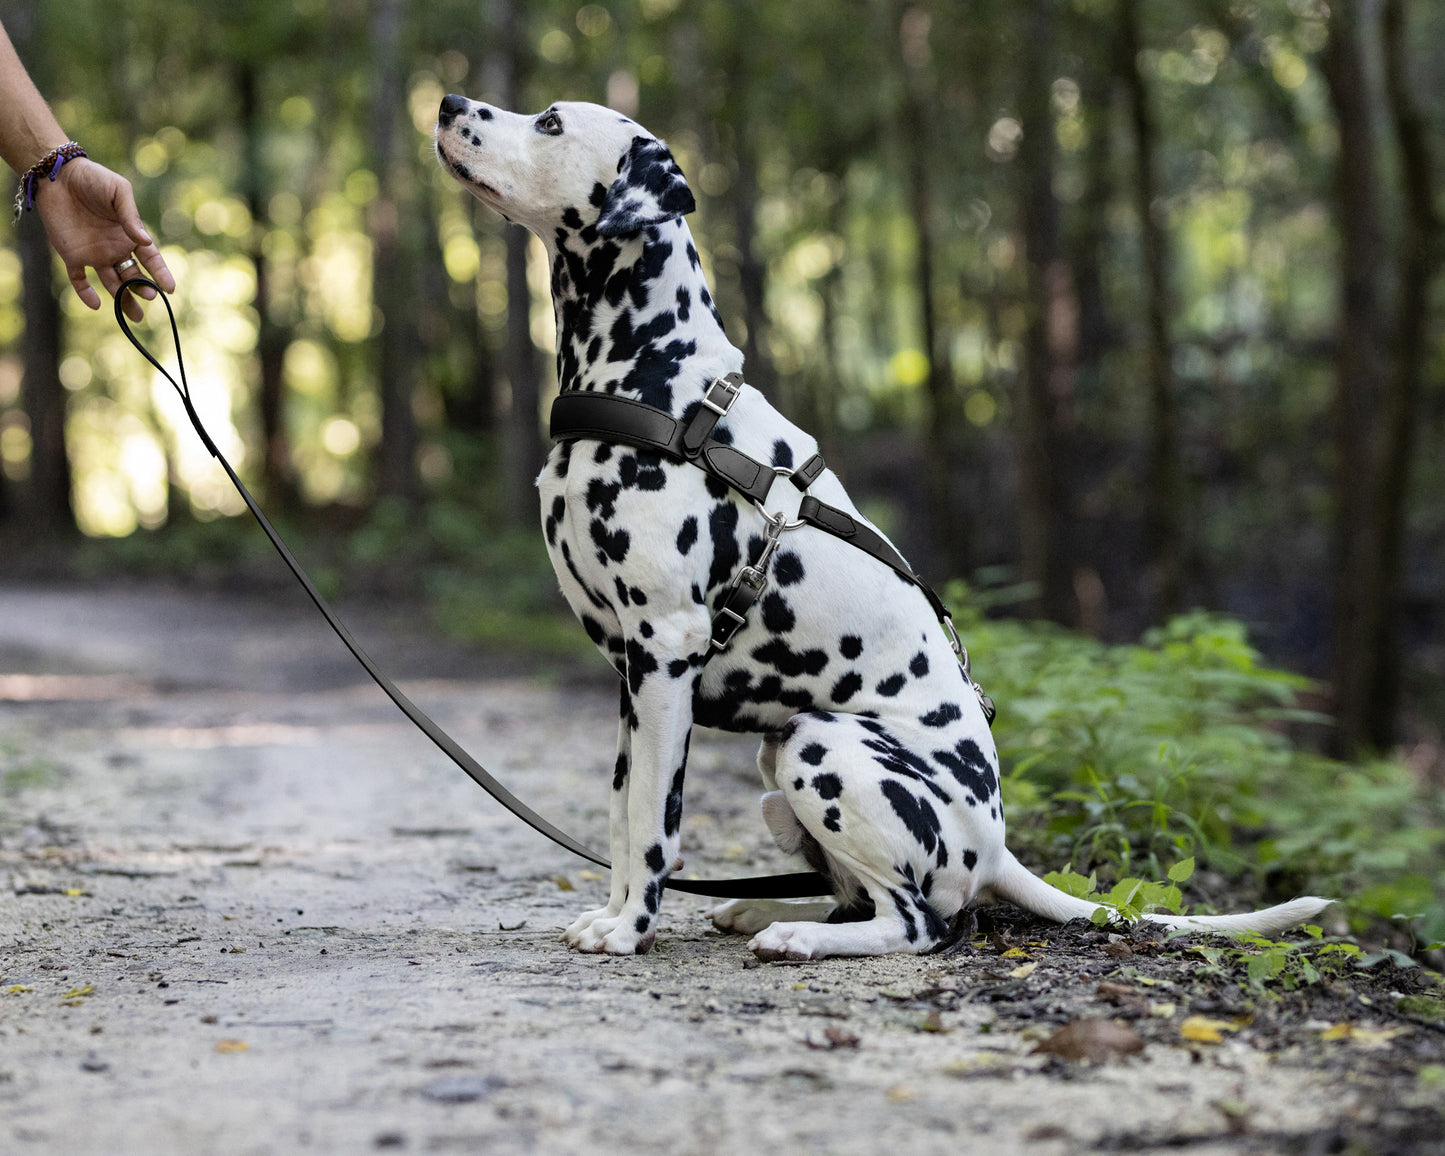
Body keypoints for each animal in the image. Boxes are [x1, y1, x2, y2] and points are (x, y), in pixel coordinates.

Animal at [430, 96, 1329, 959]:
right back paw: (765, 913)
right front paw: (614, 915)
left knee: (916, 923)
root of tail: (995, 847)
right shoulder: (632, 676)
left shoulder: (664, 651)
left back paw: (795, 936)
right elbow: (623, 815)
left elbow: (656, 821)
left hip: (821, 747)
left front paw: (630, 932)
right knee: (858, 896)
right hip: (778, 758)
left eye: (550, 123)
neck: (659, 382)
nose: (445, 103)